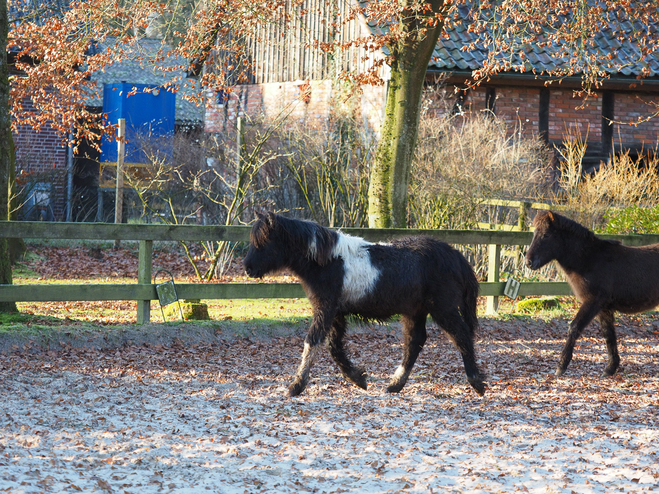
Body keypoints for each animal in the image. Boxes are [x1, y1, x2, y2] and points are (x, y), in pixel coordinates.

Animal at [242, 212, 484, 398]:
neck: (328, 261)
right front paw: (359, 379)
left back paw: (477, 383)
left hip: (443, 309)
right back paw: (394, 385)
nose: (247, 268)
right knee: (414, 342)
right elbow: (334, 347)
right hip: (415, 312)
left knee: (461, 336)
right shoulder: (336, 313)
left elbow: (313, 341)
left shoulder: (325, 309)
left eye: (263, 242)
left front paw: (296, 386)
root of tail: (456, 256)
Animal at [528, 210, 659, 376]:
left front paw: (561, 366)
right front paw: (610, 368)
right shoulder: (604, 308)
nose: (528, 262)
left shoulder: (593, 302)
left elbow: (574, 327)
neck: (589, 260)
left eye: (546, 235)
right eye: (534, 233)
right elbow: (608, 335)